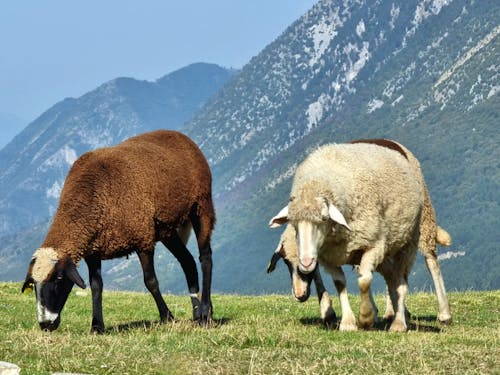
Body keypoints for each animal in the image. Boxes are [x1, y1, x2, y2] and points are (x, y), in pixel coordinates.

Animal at [21, 131, 215, 334]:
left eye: (59, 279)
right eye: (33, 284)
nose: (45, 324)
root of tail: (180, 136)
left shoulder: (143, 238)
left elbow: (151, 281)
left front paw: (167, 317)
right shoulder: (93, 250)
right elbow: (96, 286)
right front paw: (96, 326)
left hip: (201, 205)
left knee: (205, 257)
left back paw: (206, 314)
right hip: (166, 229)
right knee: (188, 261)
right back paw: (197, 314)